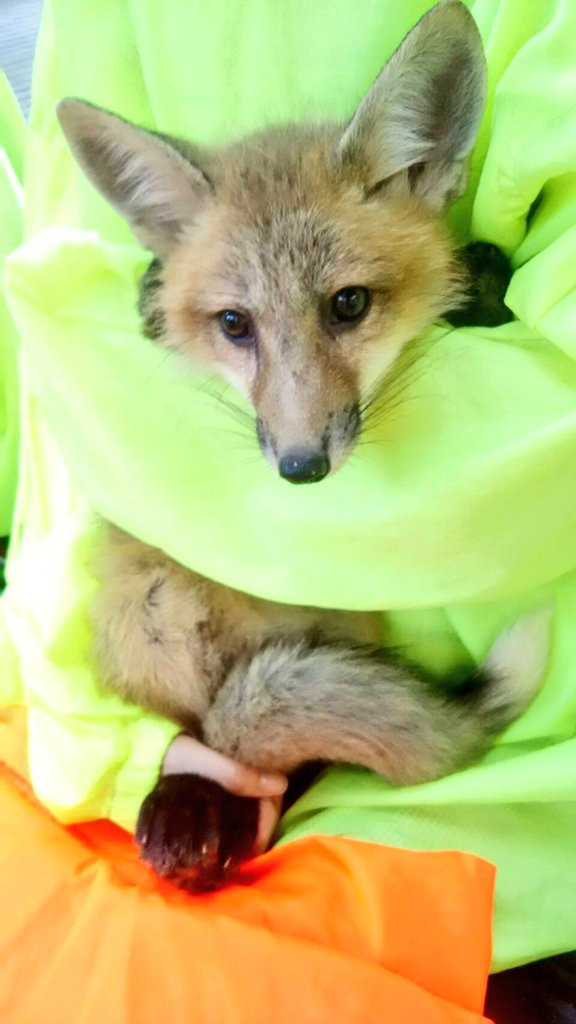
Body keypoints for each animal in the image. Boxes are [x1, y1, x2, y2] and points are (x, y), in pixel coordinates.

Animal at [57, 0, 544, 891]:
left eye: (348, 305)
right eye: (234, 325)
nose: (300, 468)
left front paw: (477, 286)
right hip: (150, 603)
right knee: (213, 727)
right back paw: (194, 811)